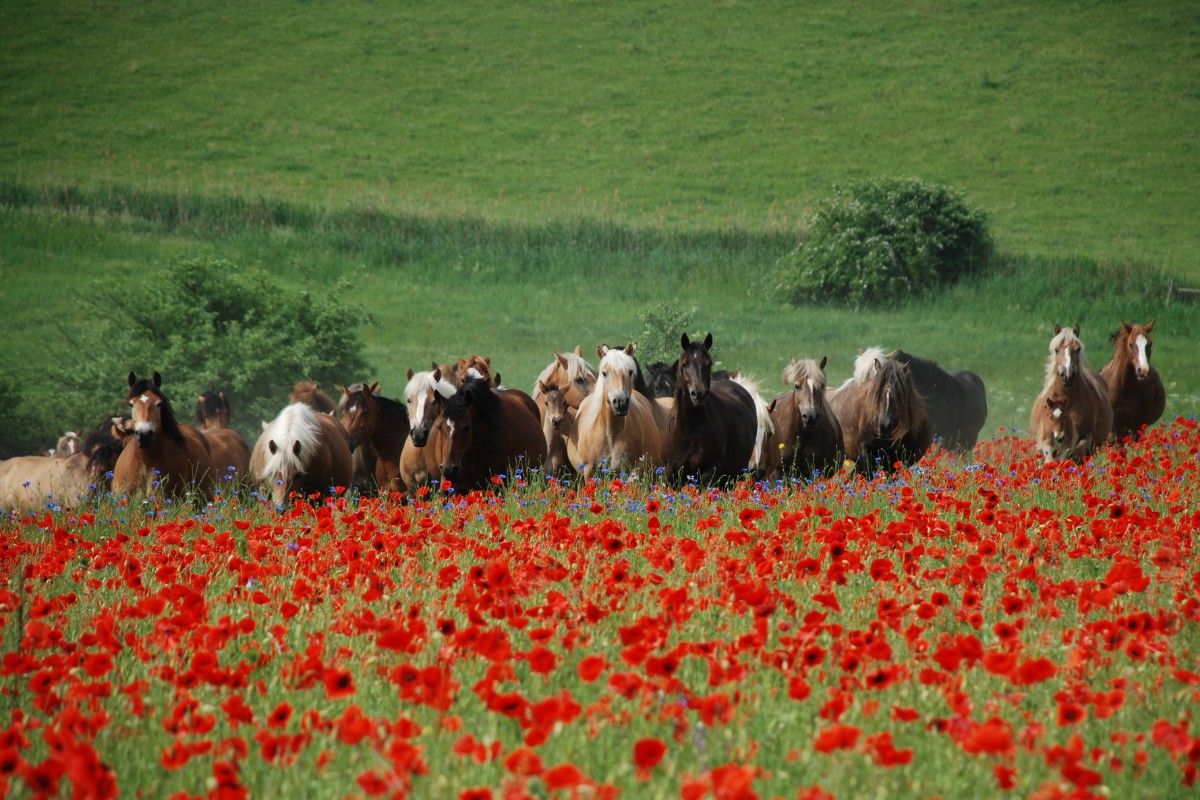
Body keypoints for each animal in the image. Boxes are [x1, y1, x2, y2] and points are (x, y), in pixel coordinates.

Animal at [662, 331, 753, 482]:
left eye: (709, 363)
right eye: (685, 364)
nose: (699, 394)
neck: (690, 429)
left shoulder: (711, 470)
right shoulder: (671, 473)